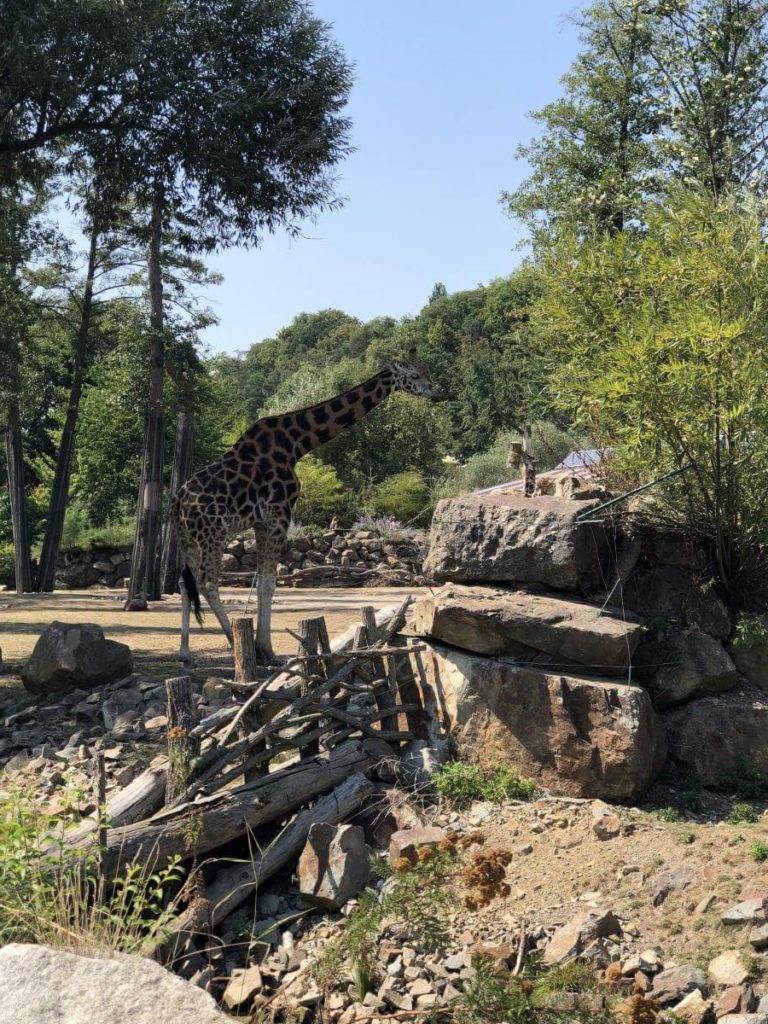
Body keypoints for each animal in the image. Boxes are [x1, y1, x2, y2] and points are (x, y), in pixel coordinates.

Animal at [171, 350, 442, 663]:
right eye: (414, 375)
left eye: (428, 371)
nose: (437, 393)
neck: (297, 443)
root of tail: (176, 506)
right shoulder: (279, 514)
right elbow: (268, 583)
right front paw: (267, 651)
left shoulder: (262, 521)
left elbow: (263, 582)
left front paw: (263, 647)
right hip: (213, 533)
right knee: (206, 582)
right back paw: (232, 641)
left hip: (188, 539)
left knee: (185, 583)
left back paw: (185, 651)